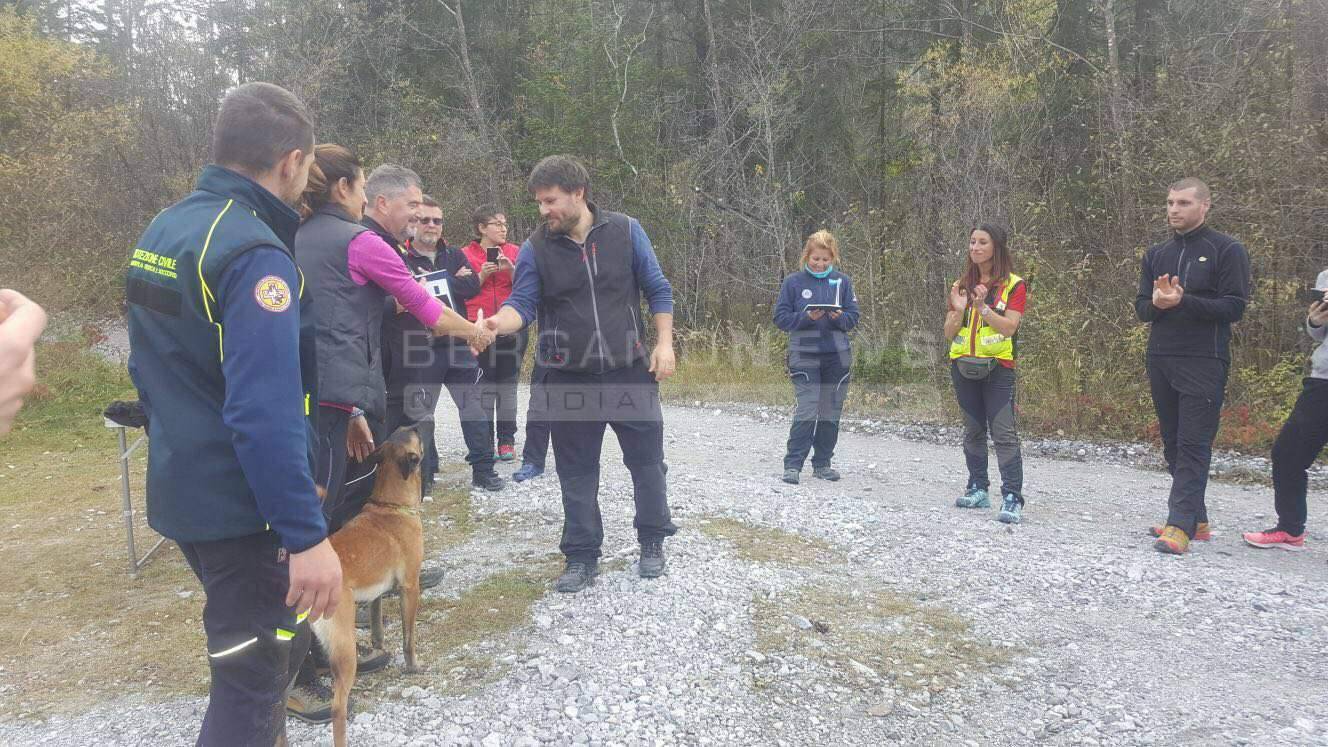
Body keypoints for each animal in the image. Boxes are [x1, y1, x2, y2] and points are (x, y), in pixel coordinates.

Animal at [309, 425, 424, 744]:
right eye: (414, 435)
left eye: (402, 430)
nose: (416, 424)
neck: (390, 505)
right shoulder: (410, 587)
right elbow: (409, 639)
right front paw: (412, 667)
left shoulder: (377, 593)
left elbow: (376, 628)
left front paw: (378, 649)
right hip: (345, 651)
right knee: (338, 707)